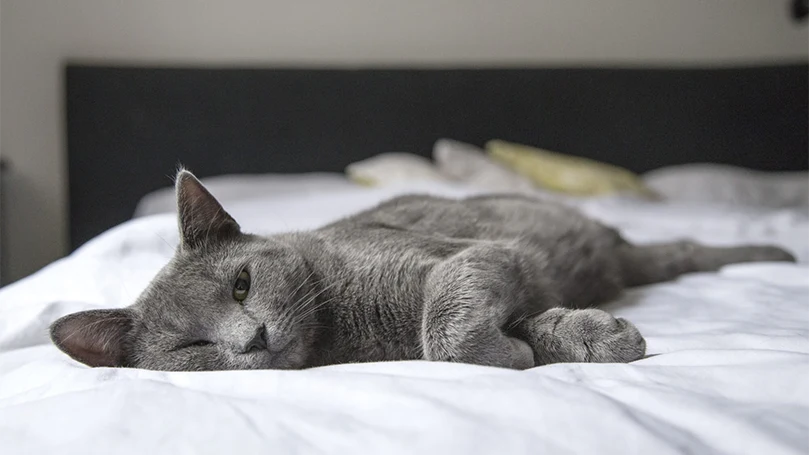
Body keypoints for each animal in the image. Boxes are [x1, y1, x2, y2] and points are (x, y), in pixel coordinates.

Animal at [49, 169, 796, 372]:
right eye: (191, 345)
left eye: (240, 284)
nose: (252, 337)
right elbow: (474, 334)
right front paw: (572, 339)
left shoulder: (468, 257)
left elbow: (445, 328)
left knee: (684, 249)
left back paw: (779, 255)